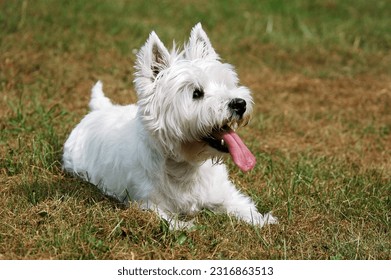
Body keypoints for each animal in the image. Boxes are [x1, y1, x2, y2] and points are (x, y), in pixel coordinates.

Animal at [62, 23, 278, 230]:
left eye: (225, 84)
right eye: (196, 93)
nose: (240, 104)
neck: (186, 165)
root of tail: (100, 109)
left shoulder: (223, 192)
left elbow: (242, 205)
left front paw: (263, 221)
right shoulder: (147, 202)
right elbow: (169, 221)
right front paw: (187, 226)